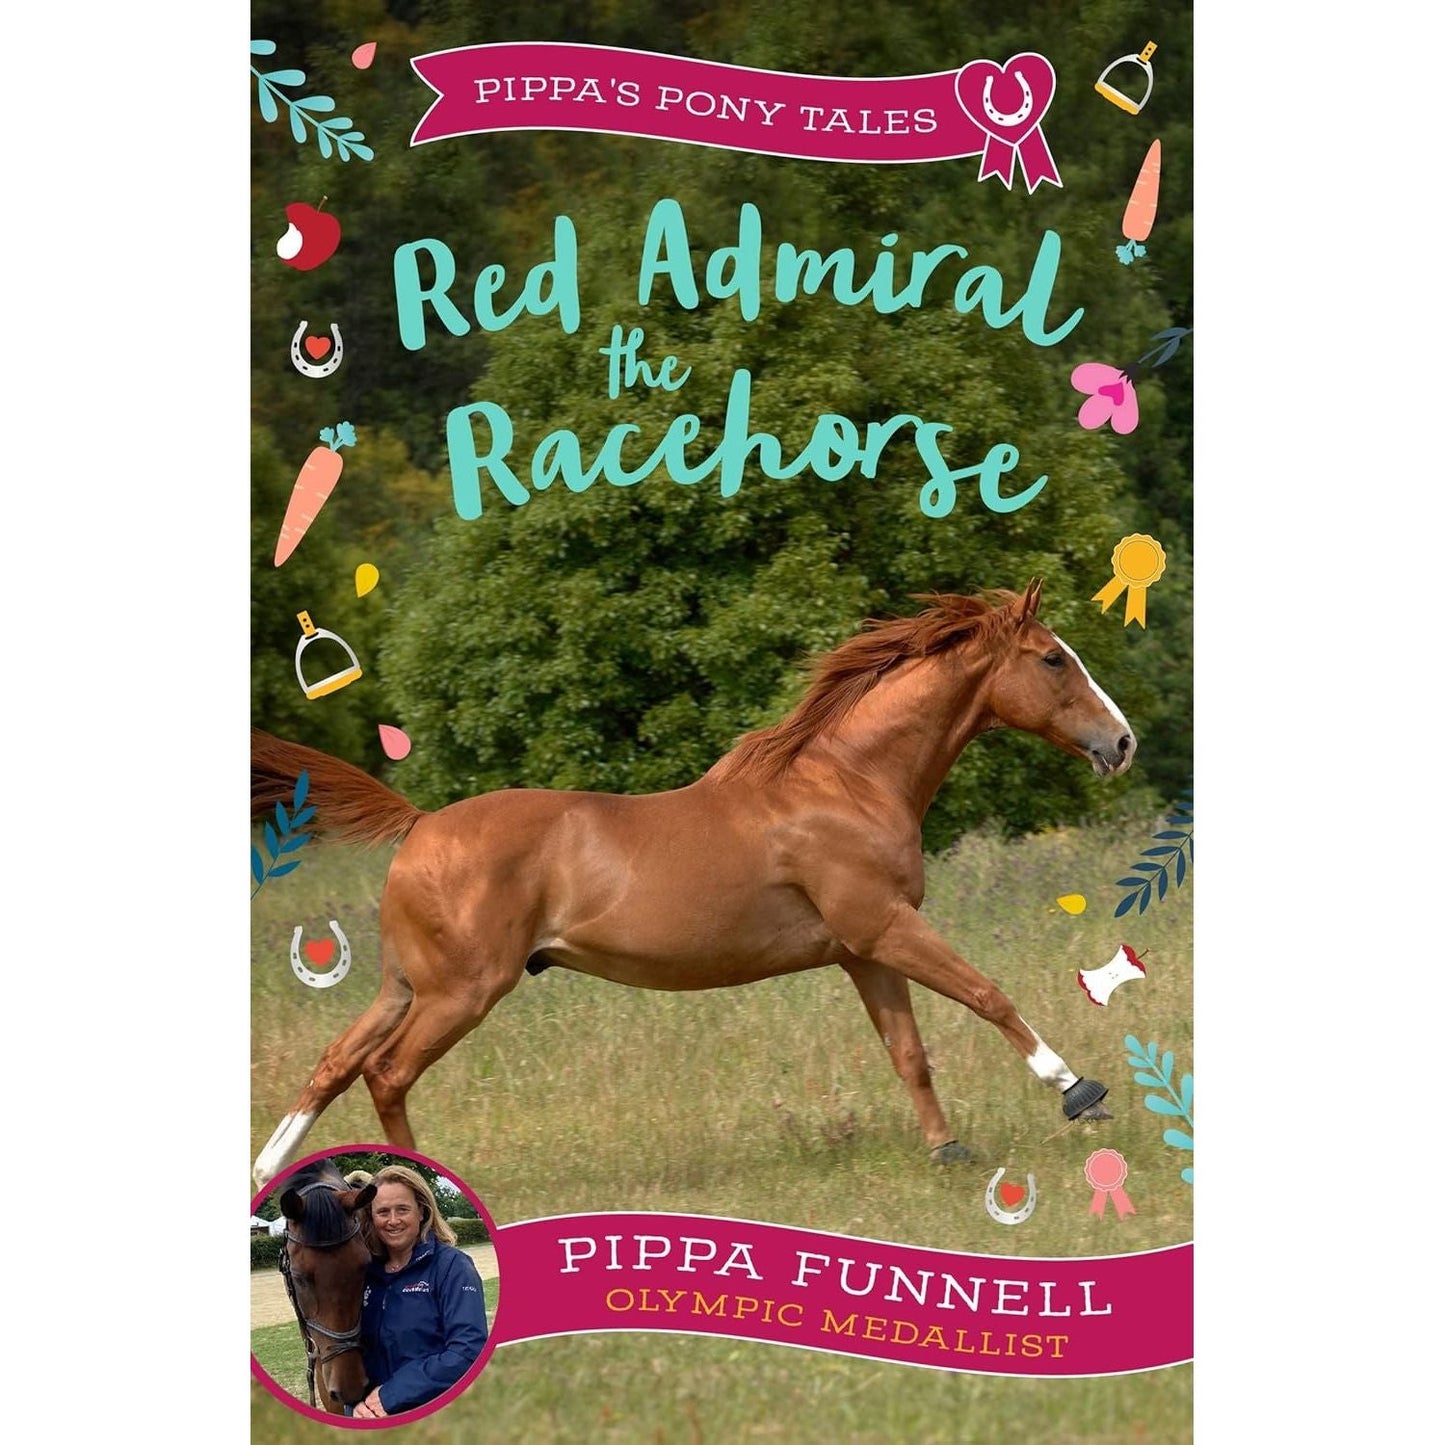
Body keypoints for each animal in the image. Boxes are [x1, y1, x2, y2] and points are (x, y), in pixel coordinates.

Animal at [252, 582, 1134, 1188]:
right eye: (1053, 657)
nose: (1120, 742)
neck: (848, 782)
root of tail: (420, 825)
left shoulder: (863, 950)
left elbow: (909, 1053)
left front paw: (947, 1149)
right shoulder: (884, 926)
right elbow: (989, 995)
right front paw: (1079, 1091)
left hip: (406, 985)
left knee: (334, 1064)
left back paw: (268, 1173)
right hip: (462, 991)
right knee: (387, 1072)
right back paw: (420, 1184)